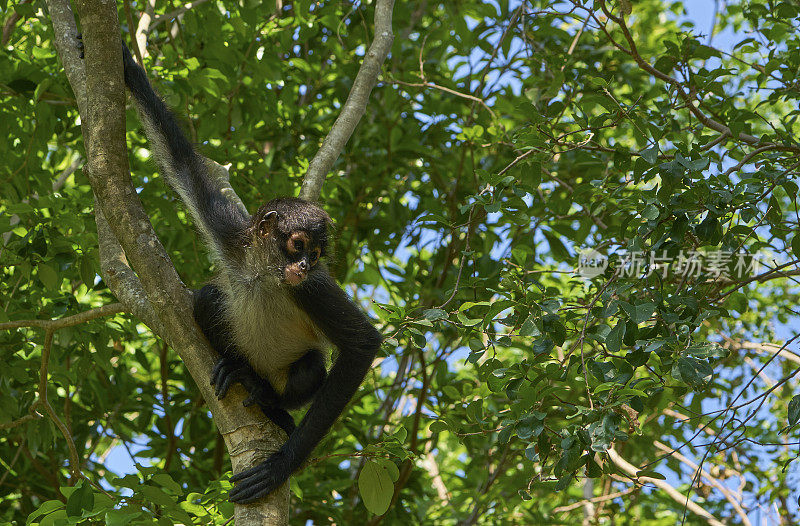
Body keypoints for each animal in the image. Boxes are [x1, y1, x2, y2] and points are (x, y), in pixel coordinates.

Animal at [113, 40, 384, 504]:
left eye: (316, 254)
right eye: (298, 245)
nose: (304, 265)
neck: (263, 276)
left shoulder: (309, 288)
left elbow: (363, 344)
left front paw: (280, 466)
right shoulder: (233, 239)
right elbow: (181, 164)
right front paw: (130, 70)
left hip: (294, 375)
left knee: (311, 367)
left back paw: (270, 402)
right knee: (207, 298)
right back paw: (239, 369)